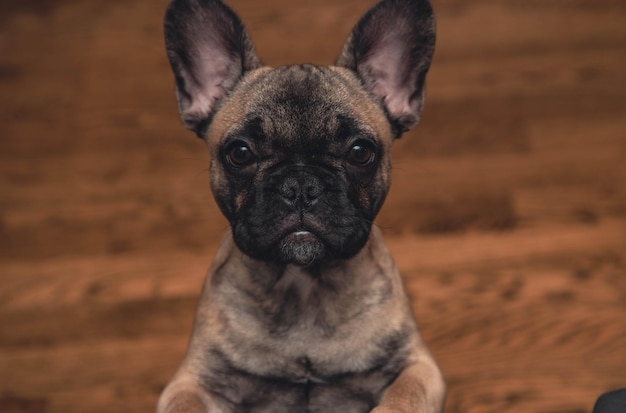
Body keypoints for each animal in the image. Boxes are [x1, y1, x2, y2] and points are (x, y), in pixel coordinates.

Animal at [158, 0, 444, 410]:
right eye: (240, 153)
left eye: (361, 152)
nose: (300, 186)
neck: (305, 285)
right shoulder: (193, 381)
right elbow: (187, 404)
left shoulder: (416, 366)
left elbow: (404, 398)